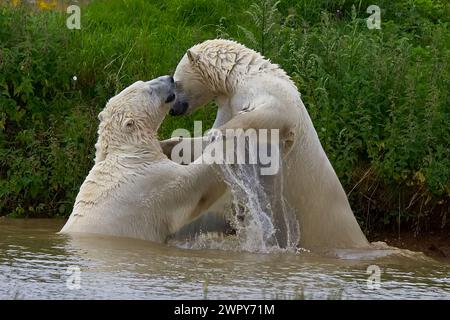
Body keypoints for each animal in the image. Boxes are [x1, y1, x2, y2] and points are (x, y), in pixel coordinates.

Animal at [61, 77, 227, 242]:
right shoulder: (152, 182)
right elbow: (194, 181)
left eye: (142, 81)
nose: (170, 78)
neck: (128, 153)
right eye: (149, 91)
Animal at [167, 40, 370, 250]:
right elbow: (200, 143)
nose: (172, 110)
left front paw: (217, 133)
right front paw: (169, 144)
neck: (241, 73)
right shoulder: (229, 104)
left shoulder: (271, 92)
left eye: (177, 83)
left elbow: (269, 114)